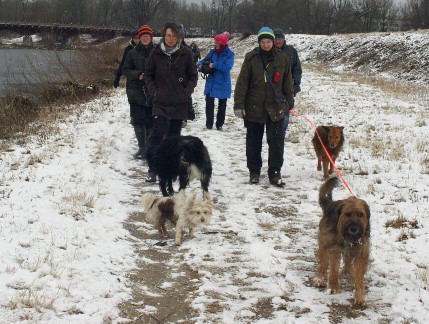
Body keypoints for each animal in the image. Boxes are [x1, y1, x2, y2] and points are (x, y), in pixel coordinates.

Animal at [312, 176, 370, 306]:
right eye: (347, 214)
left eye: (360, 215)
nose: (354, 229)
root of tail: (331, 204)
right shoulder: (335, 248)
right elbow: (333, 269)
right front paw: (334, 287)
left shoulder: (360, 251)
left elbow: (359, 274)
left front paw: (359, 295)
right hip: (324, 241)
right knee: (323, 262)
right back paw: (319, 278)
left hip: (349, 251)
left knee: (348, 264)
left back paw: (350, 276)